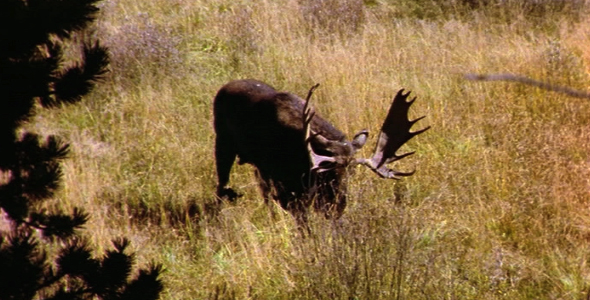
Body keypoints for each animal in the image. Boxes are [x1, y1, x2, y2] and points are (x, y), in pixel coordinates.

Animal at [213, 79, 430, 223]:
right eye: (328, 171)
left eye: (352, 172)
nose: (338, 207)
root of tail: (223, 88)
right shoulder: (284, 183)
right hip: (223, 143)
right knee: (222, 183)